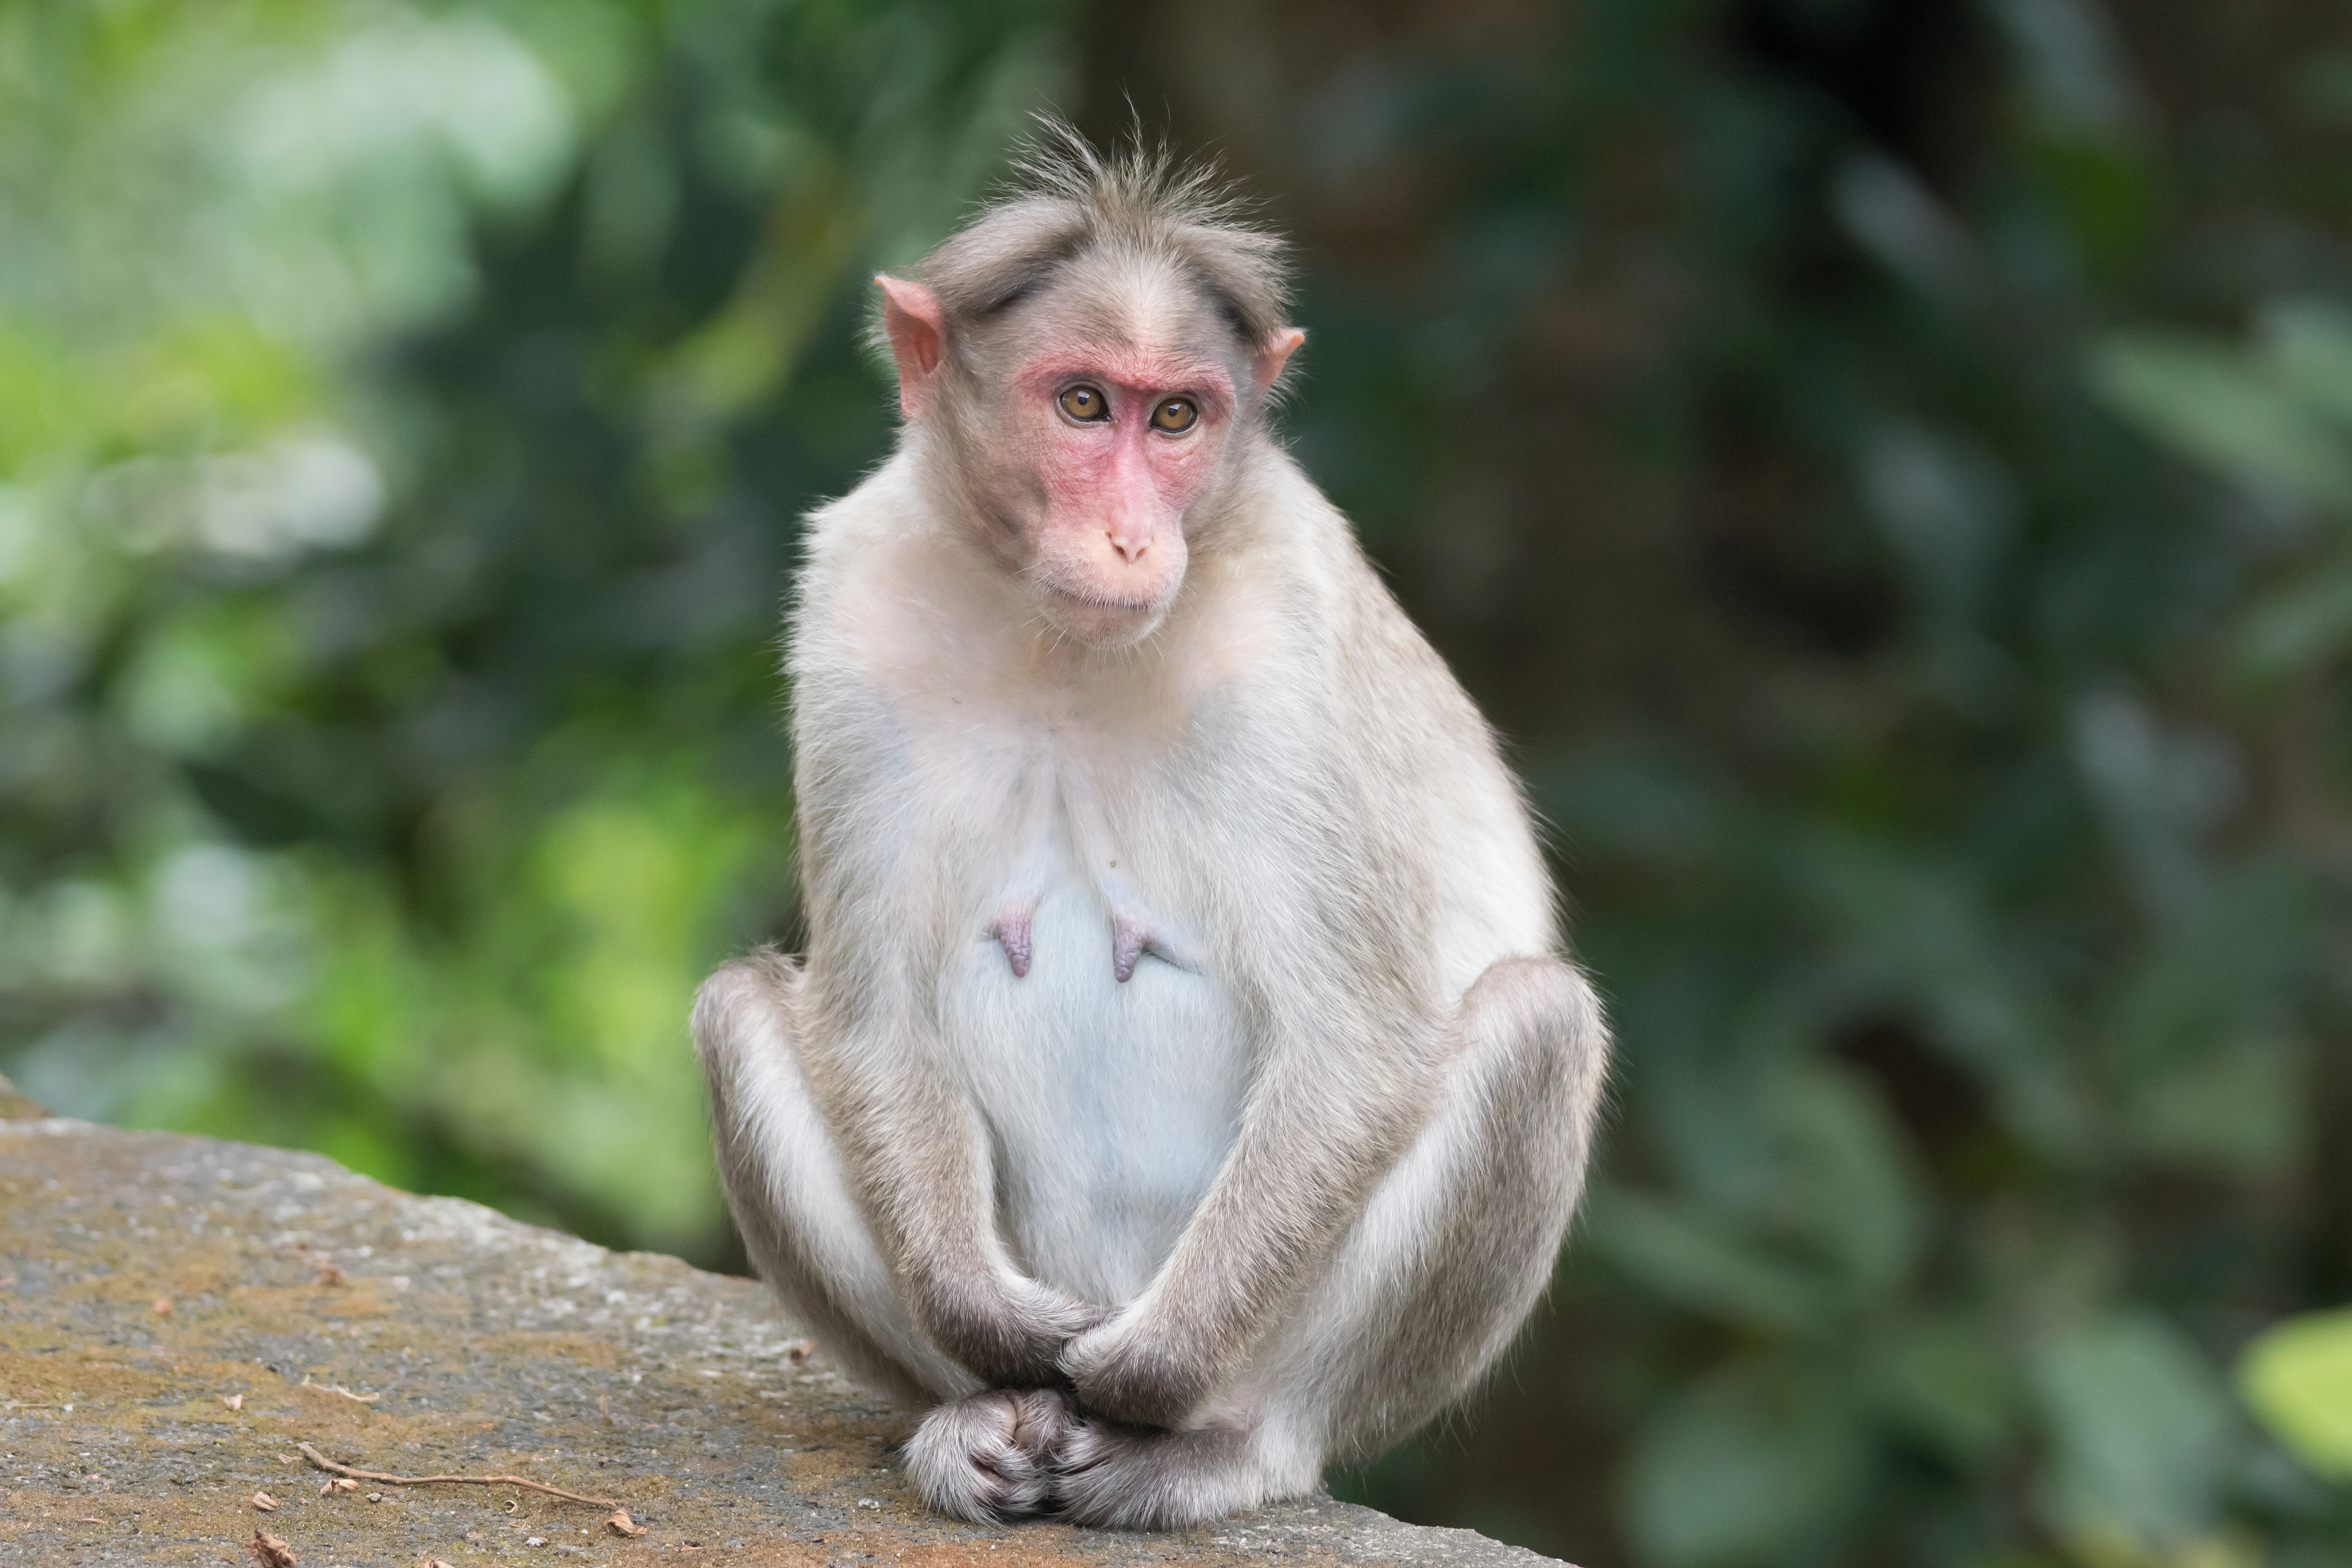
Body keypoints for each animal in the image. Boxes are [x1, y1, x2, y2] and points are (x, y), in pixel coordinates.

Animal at [691, 123, 1609, 1531]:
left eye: (1176, 416)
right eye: (1084, 405)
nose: (1133, 537)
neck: (1060, 643)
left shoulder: (1282, 649)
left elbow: (1356, 1043)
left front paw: (1146, 1367)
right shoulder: (853, 611)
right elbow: (872, 1018)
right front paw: (995, 1328)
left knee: (1537, 1024)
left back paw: (1213, 1446)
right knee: (740, 1012)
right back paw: (984, 1412)